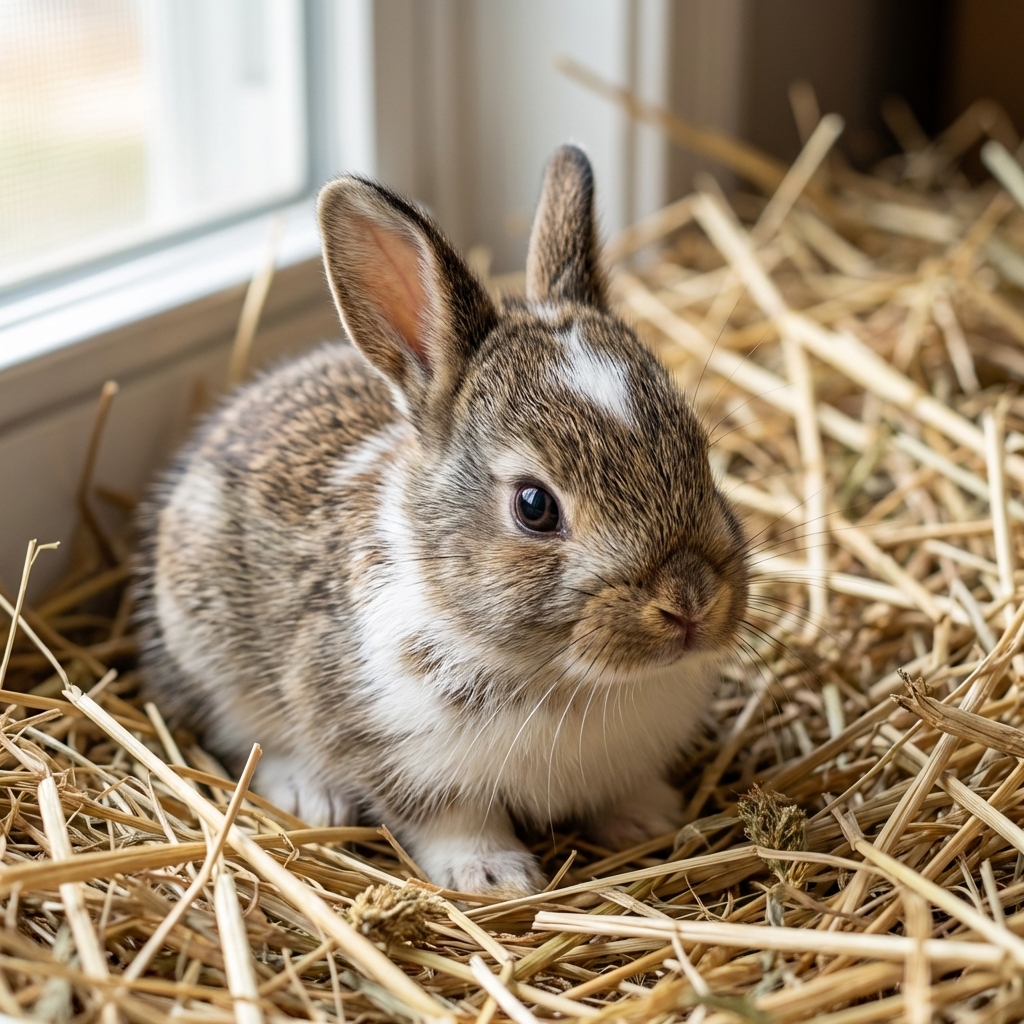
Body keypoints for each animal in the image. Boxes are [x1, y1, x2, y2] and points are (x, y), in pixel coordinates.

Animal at [135, 145, 749, 897]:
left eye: (701, 452)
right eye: (534, 506)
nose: (690, 601)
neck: (564, 675)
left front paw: (649, 818)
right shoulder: (396, 749)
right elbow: (448, 818)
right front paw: (493, 876)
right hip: (204, 640)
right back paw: (312, 793)